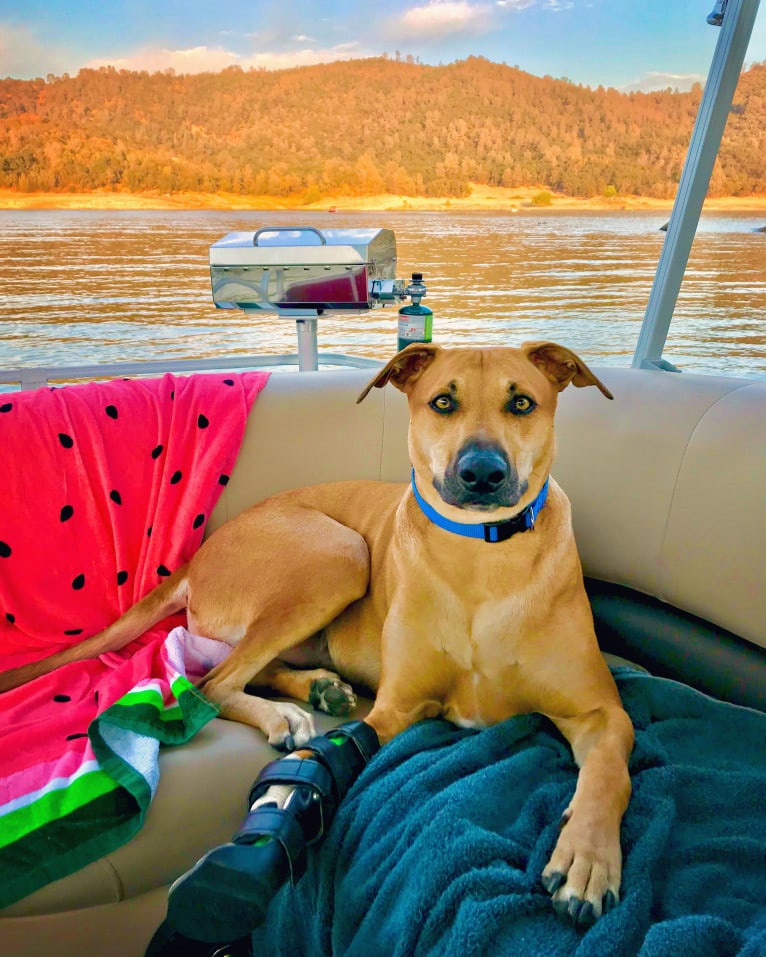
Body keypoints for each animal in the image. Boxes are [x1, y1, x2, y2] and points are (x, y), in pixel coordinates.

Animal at [0, 342, 636, 920]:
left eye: (522, 402)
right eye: (443, 402)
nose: (481, 471)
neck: (482, 557)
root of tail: (197, 558)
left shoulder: (603, 712)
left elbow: (611, 774)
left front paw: (587, 857)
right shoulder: (394, 710)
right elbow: (329, 755)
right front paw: (282, 806)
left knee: (248, 668)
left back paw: (316, 689)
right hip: (339, 555)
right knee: (213, 682)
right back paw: (285, 712)